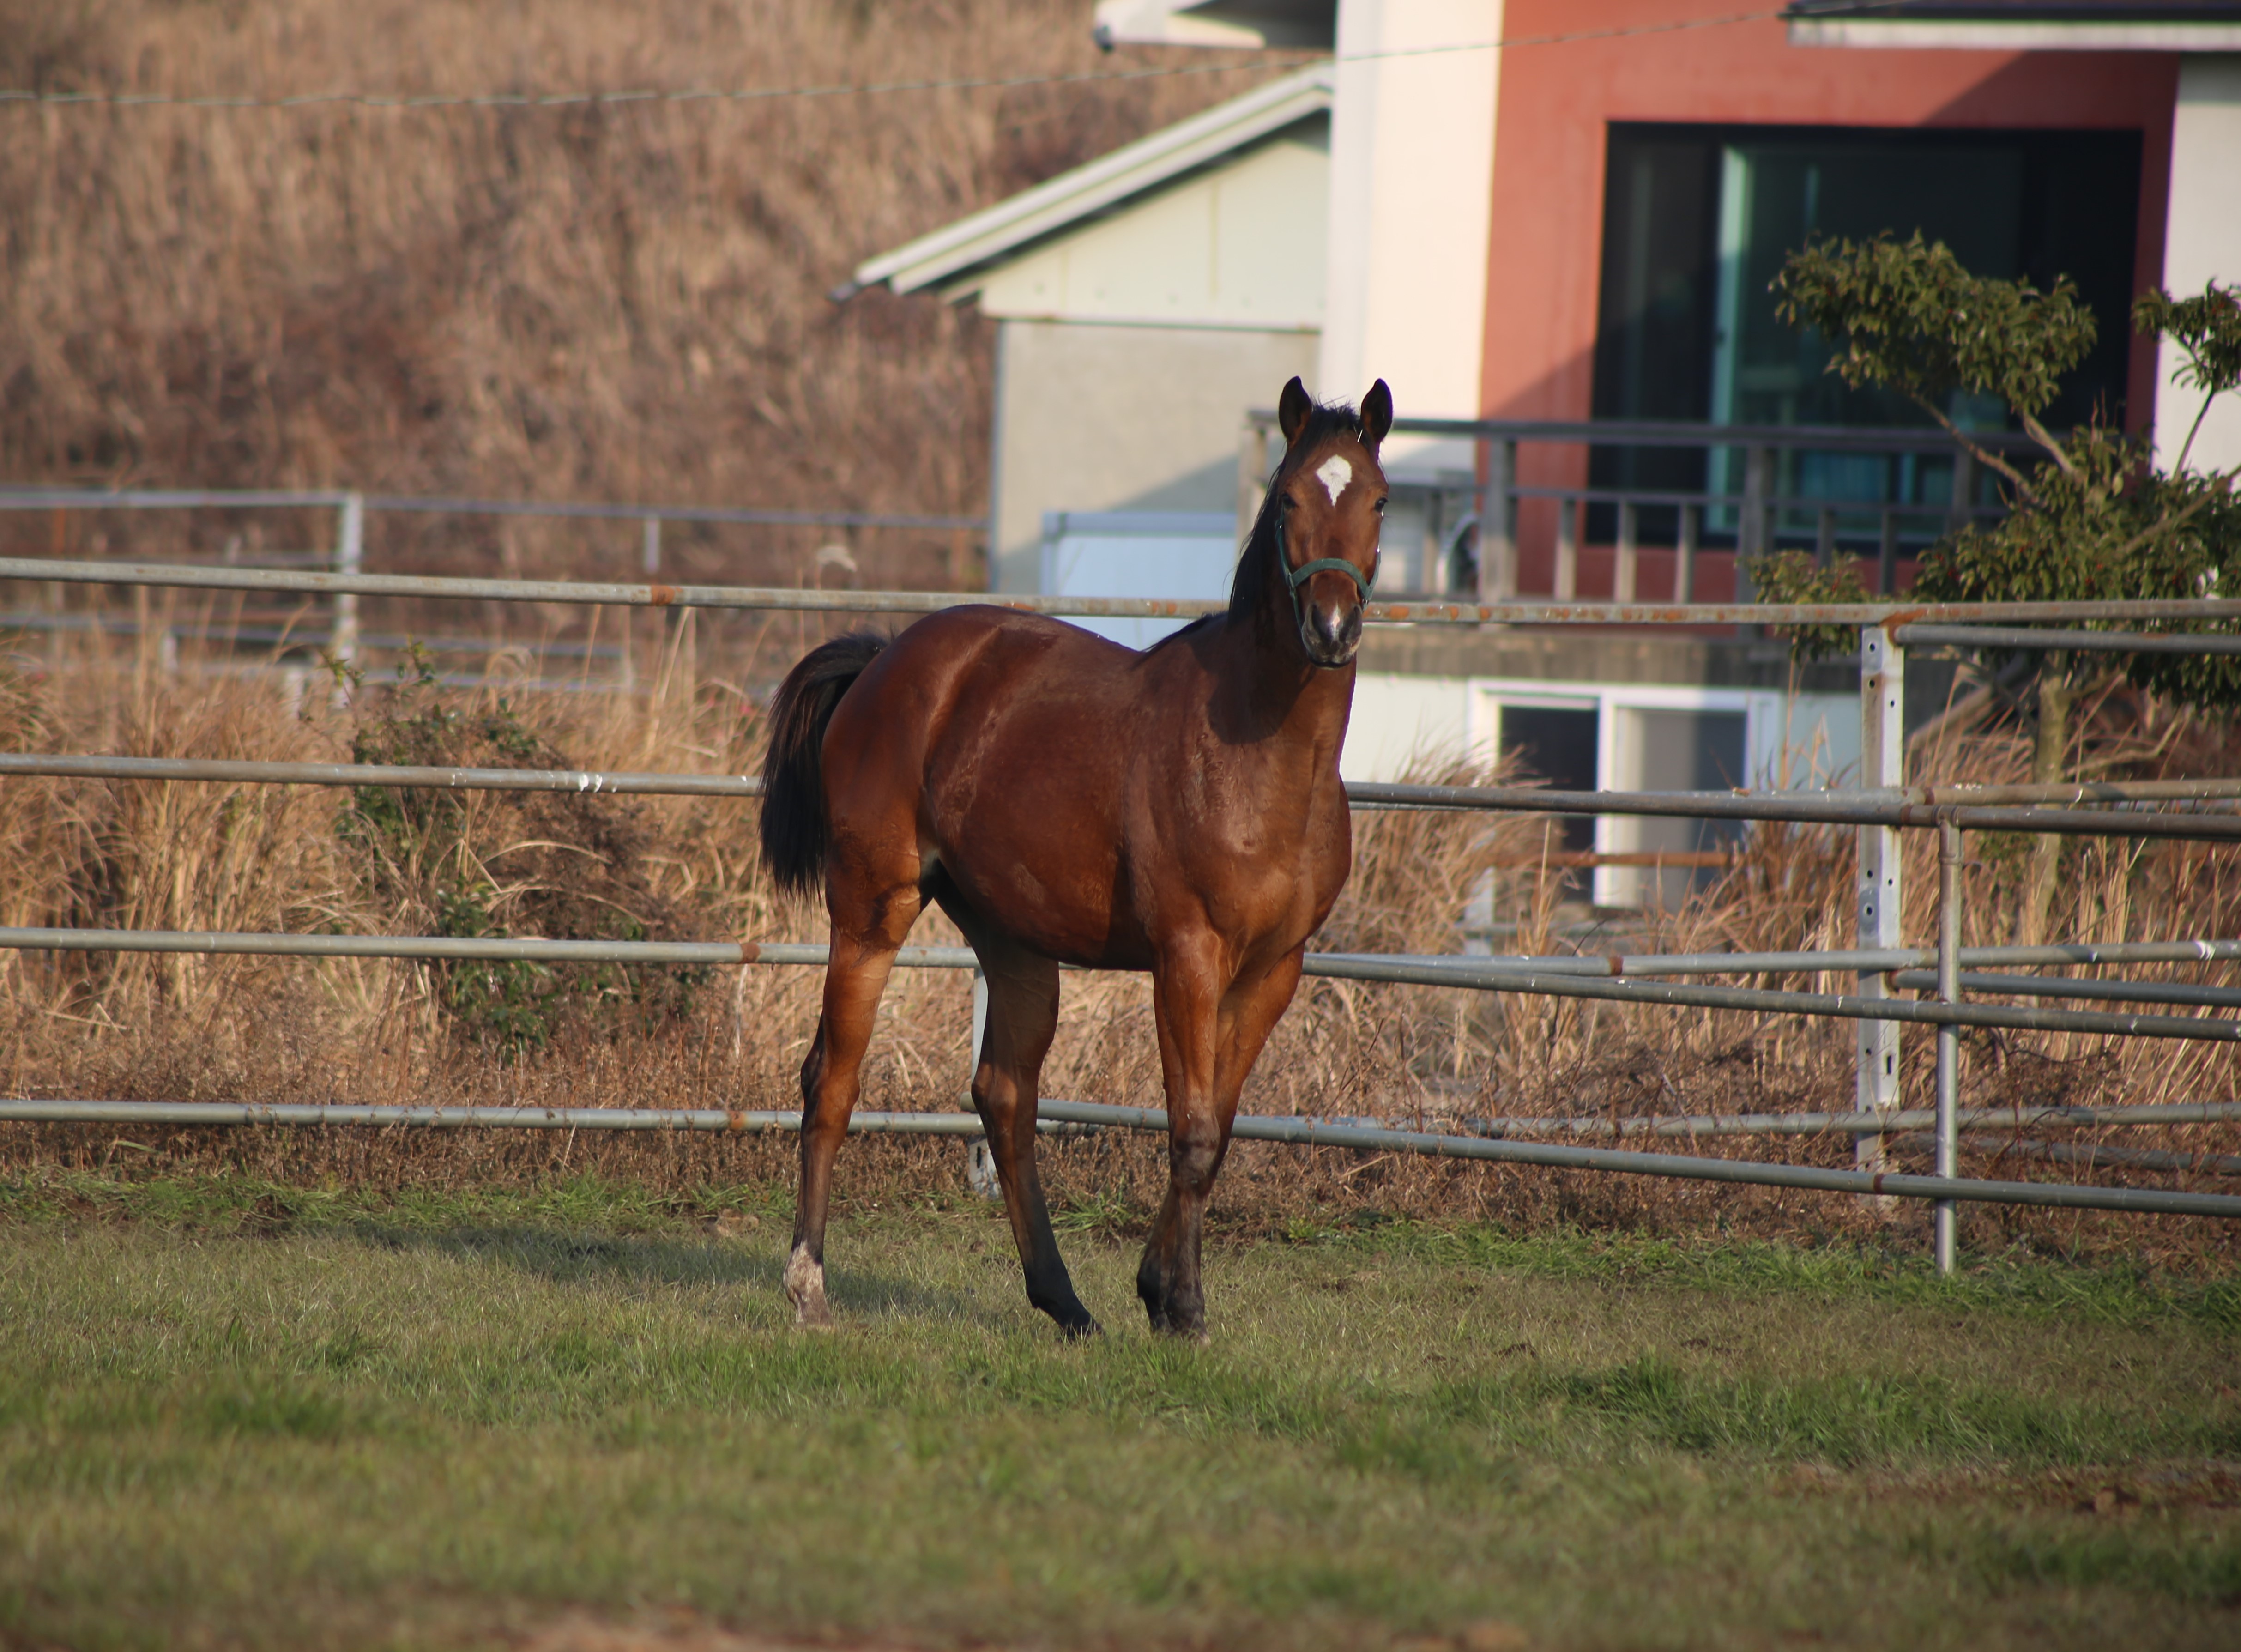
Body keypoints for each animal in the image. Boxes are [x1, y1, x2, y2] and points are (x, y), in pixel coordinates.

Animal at [762, 381, 1389, 1336]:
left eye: (1379, 500)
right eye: (1286, 499)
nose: (1330, 625)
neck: (1261, 759)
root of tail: (883, 661)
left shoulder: (1273, 970)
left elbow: (1219, 1128)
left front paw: (1159, 1288)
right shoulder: (1187, 959)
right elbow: (1190, 1130)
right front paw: (1181, 1306)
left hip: (1014, 939)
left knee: (1004, 1096)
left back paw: (1063, 1301)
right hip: (872, 907)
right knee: (830, 1082)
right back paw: (808, 1283)